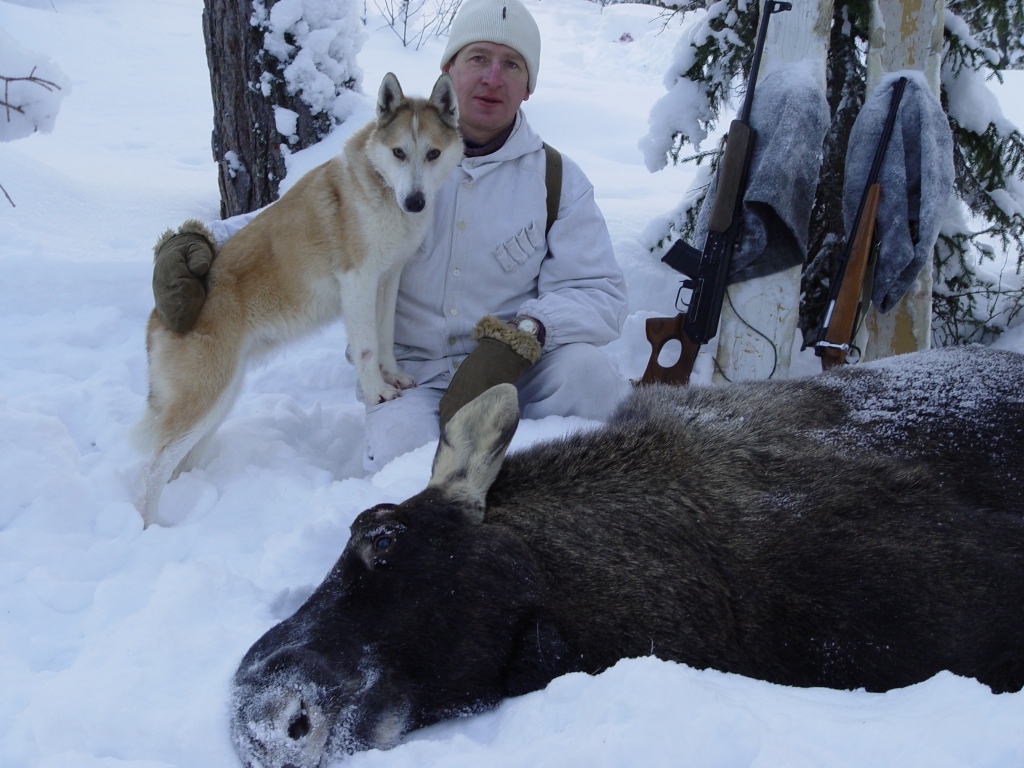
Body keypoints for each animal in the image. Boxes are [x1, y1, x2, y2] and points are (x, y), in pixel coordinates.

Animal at [135, 72, 460, 528]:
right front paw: (377, 391)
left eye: (432, 153)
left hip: (219, 398)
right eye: (399, 153)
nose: (415, 202)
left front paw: (393, 376)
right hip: (204, 398)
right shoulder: (358, 281)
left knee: (177, 464)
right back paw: (150, 528)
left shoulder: (389, 278)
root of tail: (157, 317)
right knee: (153, 470)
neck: (379, 189)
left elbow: (385, 337)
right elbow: (365, 348)